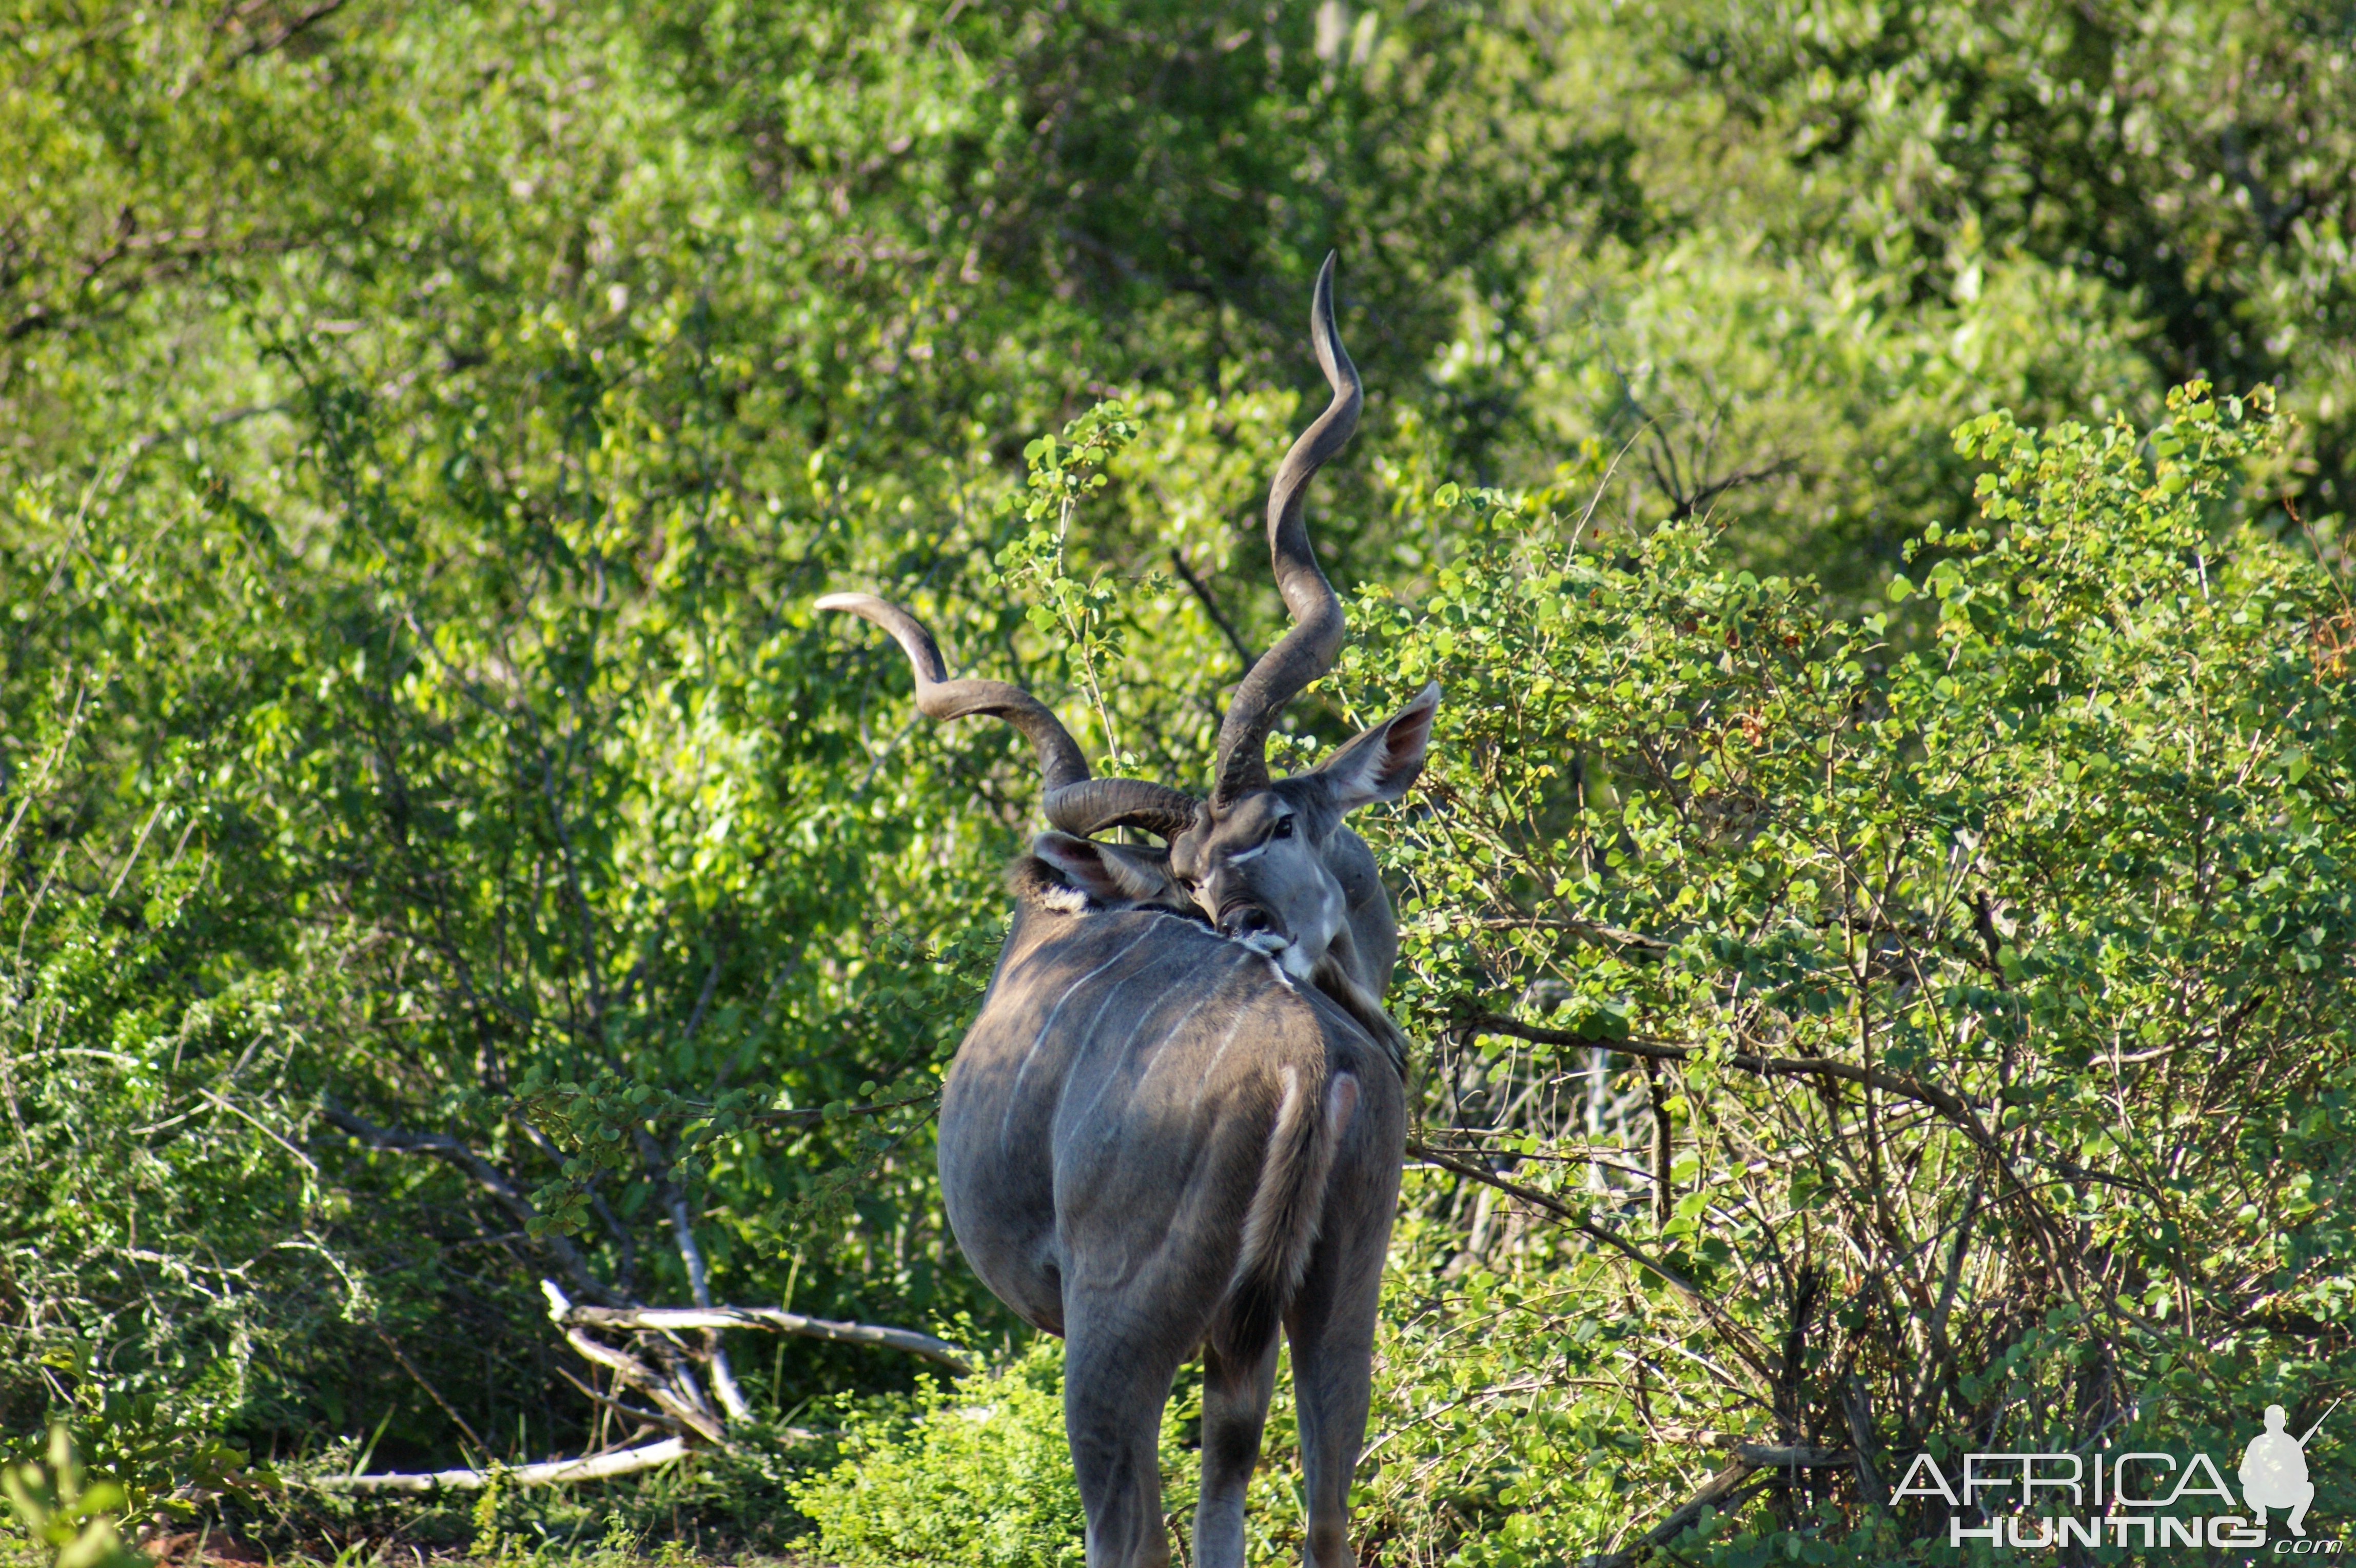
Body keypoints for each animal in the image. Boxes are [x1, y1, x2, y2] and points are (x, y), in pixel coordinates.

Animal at [820, 257, 1423, 1563]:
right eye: (1187, 874)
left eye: (1281, 822)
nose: (1245, 926)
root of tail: (1302, 1058)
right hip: (1334, 1304)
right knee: (1321, 1509)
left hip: (1120, 1334)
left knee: (1126, 1524)